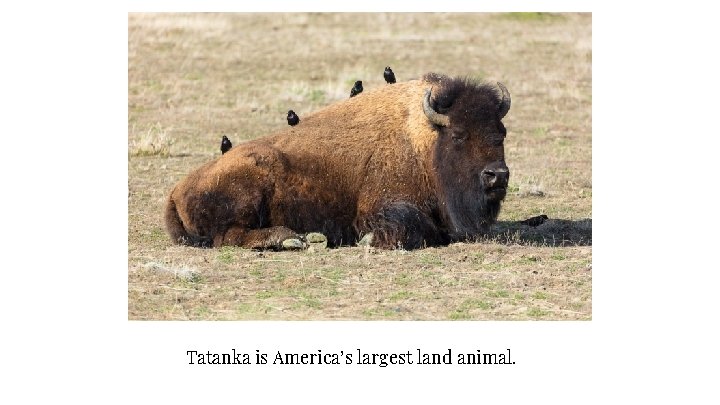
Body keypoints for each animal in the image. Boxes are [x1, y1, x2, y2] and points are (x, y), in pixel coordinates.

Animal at [165, 73, 512, 249]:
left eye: (501, 132)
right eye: (458, 135)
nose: (497, 175)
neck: (424, 140)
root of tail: (175, 191)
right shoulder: (381, 206)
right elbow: (413, 229)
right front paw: (369, 240)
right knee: (230, 237)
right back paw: (291, 239)